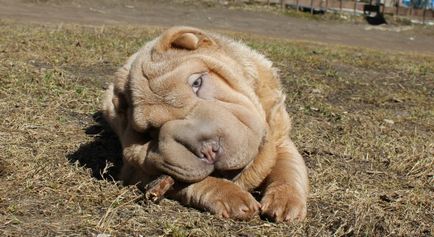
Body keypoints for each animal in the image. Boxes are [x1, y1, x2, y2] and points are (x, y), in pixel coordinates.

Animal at [102, 26, 308, 222]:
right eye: (152, 132)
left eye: (197, 82)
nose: (208, 150)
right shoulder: (133, 170)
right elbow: (193, 182)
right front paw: (235, 200)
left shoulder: (281, 138)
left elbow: (288, 169)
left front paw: (285, 204)